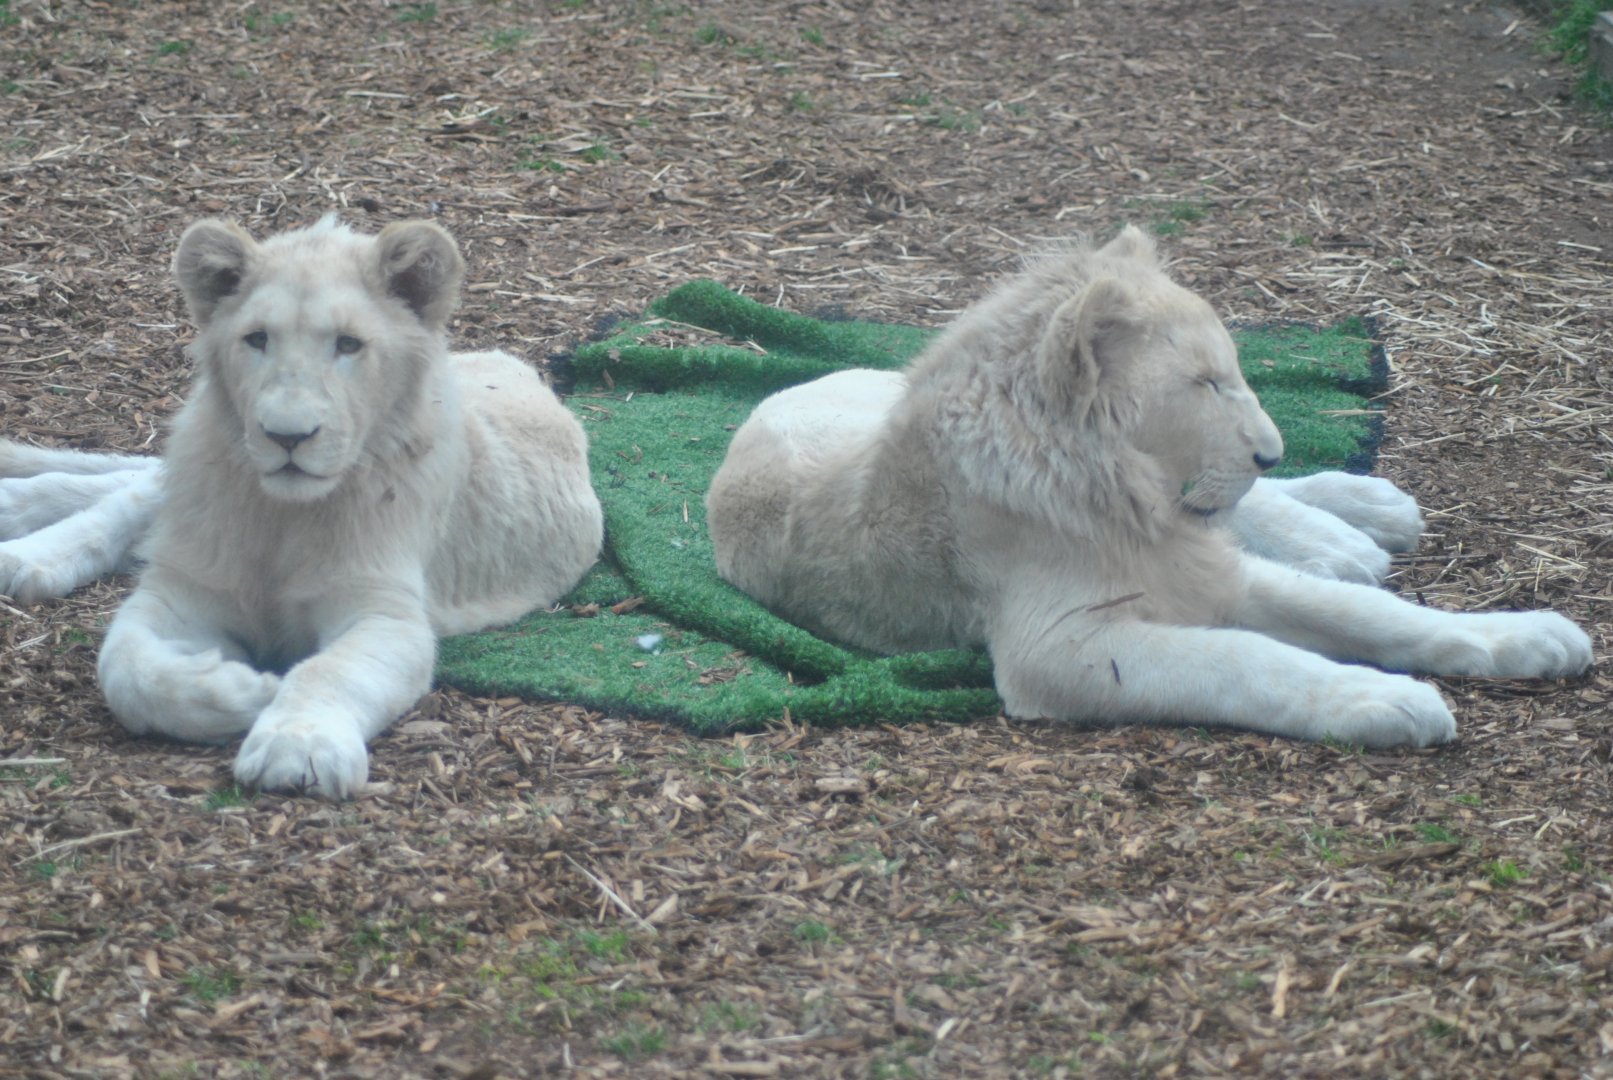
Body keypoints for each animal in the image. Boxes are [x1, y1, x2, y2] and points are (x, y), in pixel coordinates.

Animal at [1, 217, 602, 797]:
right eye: (257, 339)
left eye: (349, 344)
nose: (286, 436)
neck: (282, 516)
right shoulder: (185, 591)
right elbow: (125, 667)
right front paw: (247, 690)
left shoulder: (385, 612)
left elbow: (329, 671)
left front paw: (296, 747)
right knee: (132, 492)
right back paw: (24, 545)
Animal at [705, 227, 1592, 747]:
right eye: (1204, 383)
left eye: (1231, 372)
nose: (1268, 448)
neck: (1117, 494)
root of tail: (755, 415)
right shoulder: (1057, 648)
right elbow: (1247, 660)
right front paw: (1388, 702)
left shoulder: (1210, 566)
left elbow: (1371, 614)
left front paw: (1530, 636)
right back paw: (1342, 534)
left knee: (1273, 514)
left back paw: (1361, 517)